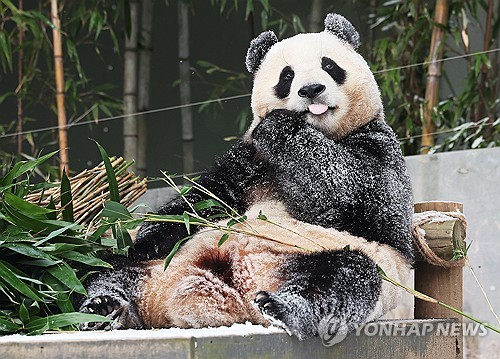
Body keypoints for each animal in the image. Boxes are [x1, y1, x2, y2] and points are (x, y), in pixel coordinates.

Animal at [79, 13, 414, 340]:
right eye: (287, 76)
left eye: (329, 65)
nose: (311, 90)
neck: (323, 132)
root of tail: (231, 289)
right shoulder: (247, 160)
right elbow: (205, 197)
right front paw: (151, 236)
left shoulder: (380, 146)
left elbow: (356, 194)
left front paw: (280, 126)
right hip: (156, 267)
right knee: (106, 270)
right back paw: (104, 309)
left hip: (327, 260)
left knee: (344, 277)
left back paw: (282, 307)